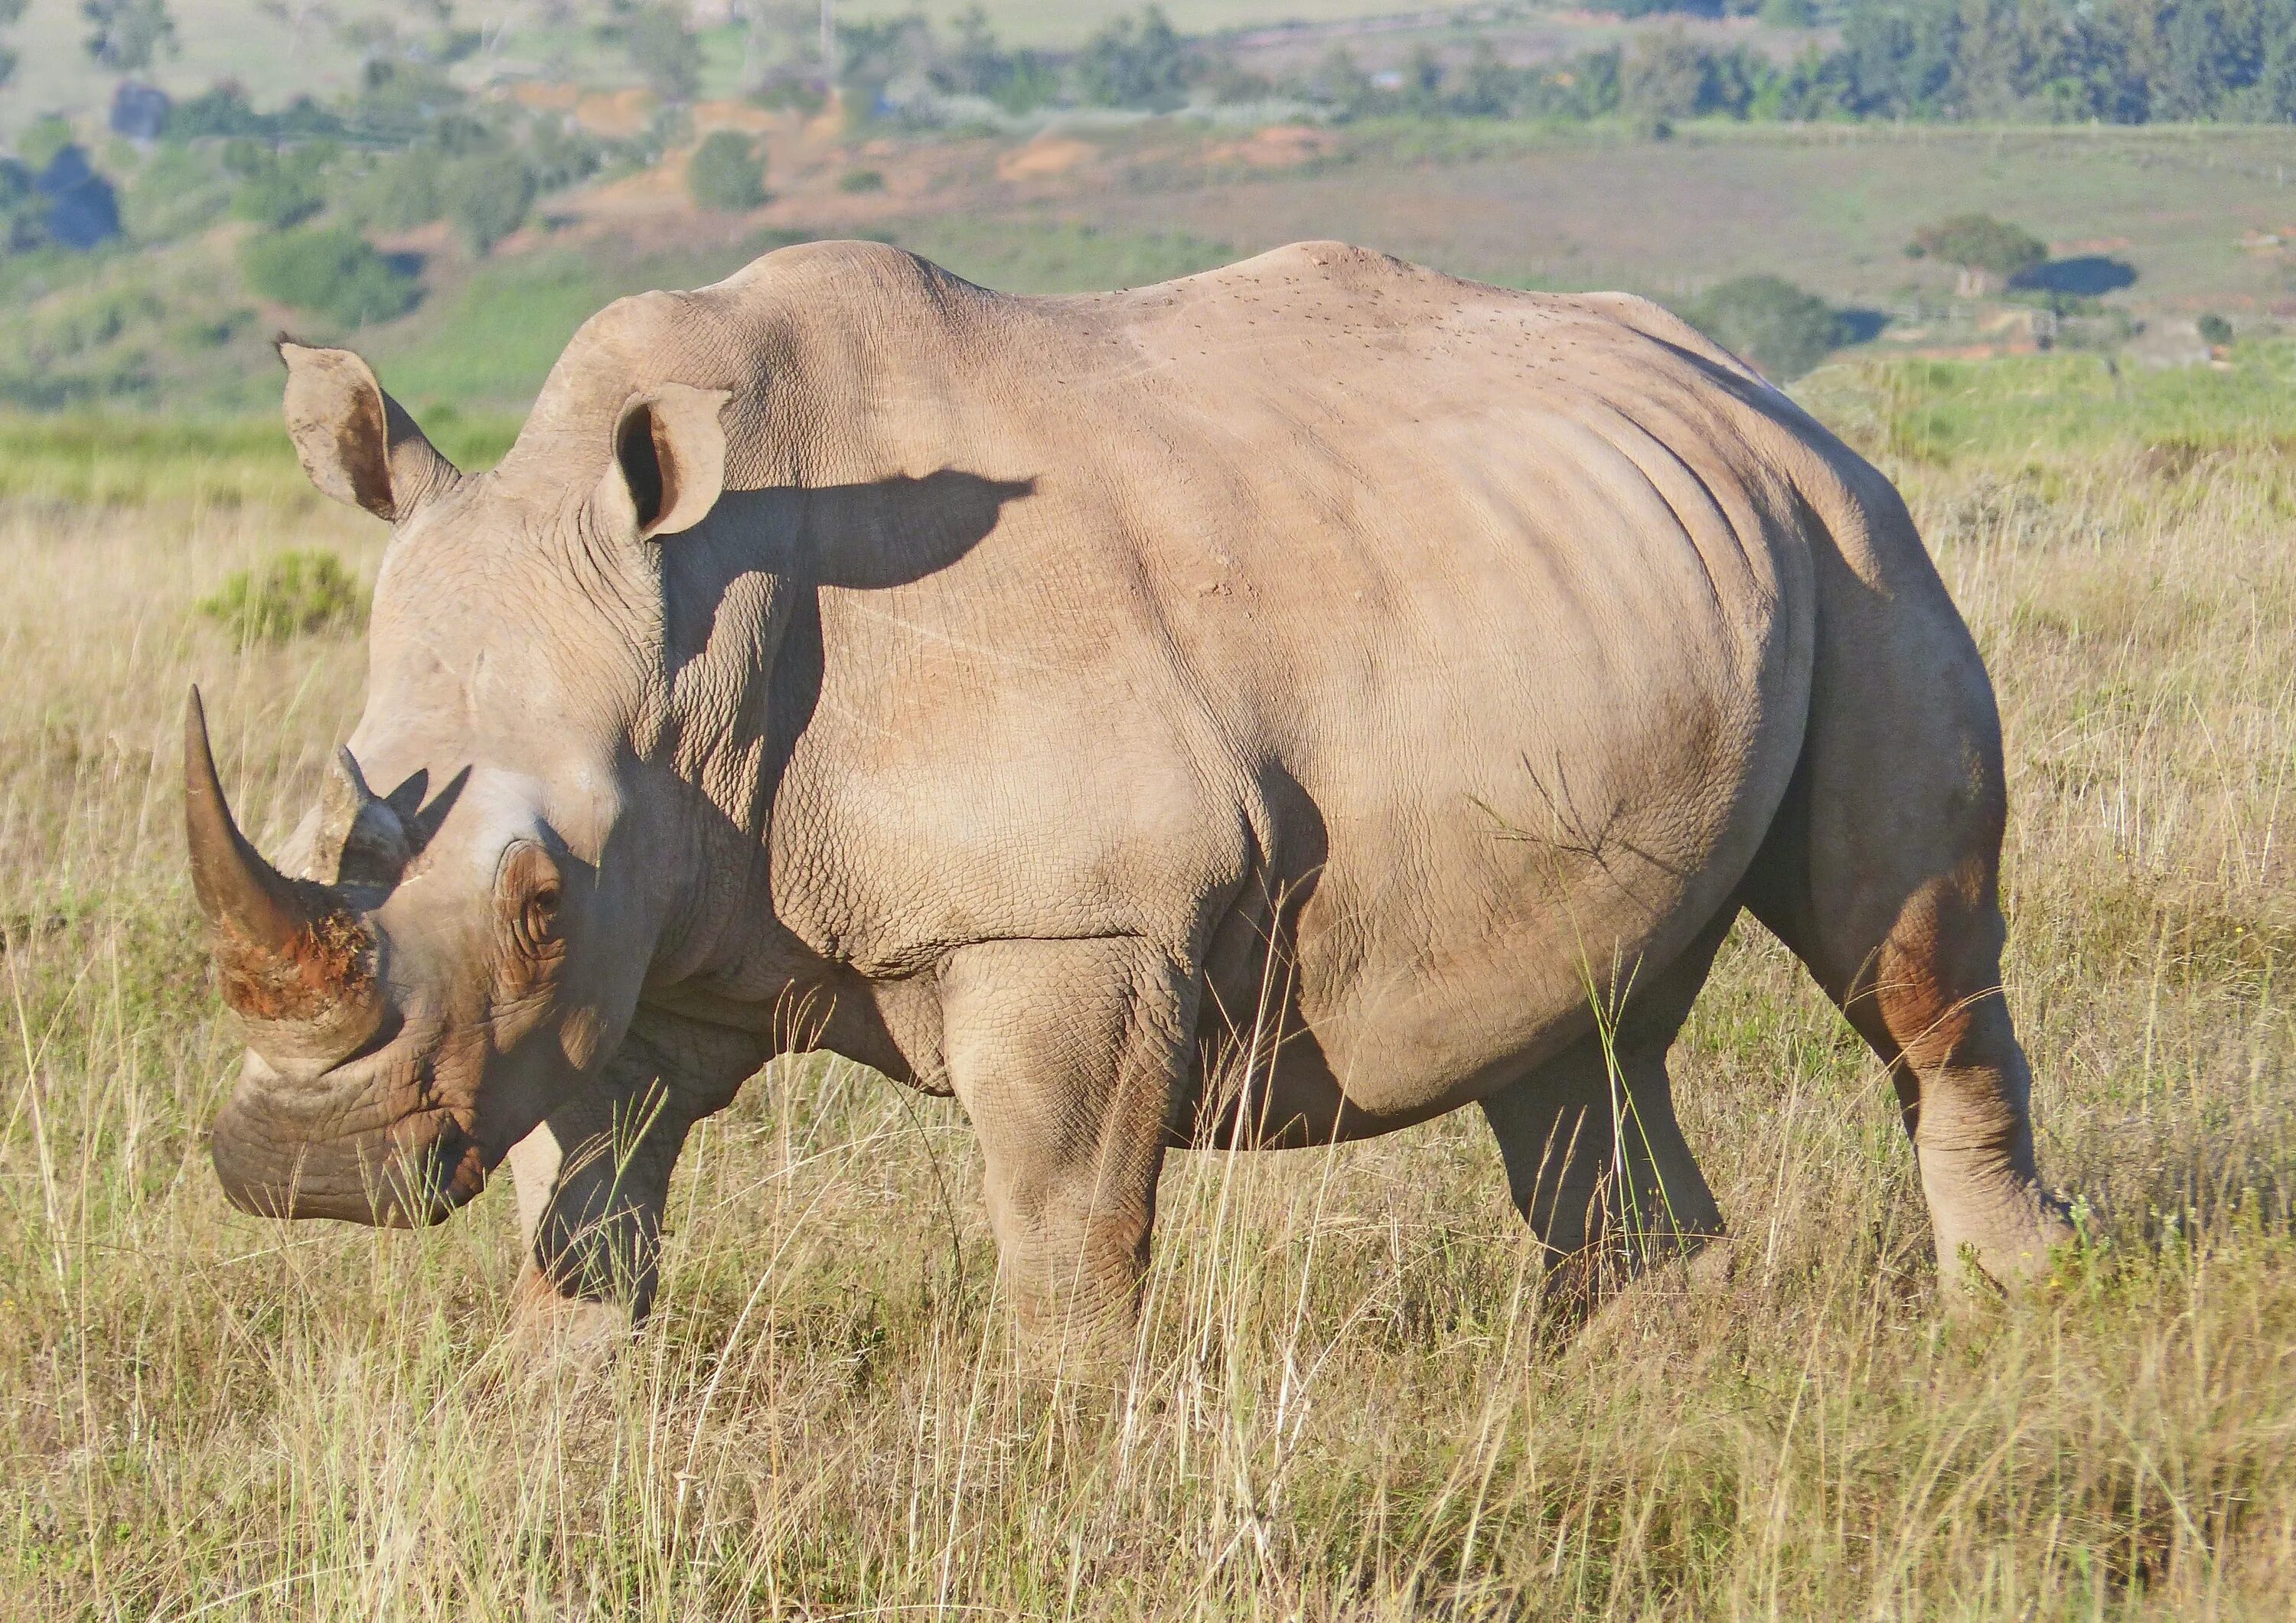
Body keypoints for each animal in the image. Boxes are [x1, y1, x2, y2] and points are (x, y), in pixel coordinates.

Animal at [188, 241, 2076, 1350]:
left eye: (535, 901)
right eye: (345, 835)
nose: (306, 1176)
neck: (693, 636)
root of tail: (1760, 394)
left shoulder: (1073, 922)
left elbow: (1064, 1233)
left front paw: (1052, 1464)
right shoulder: (644, 949)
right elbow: (587, 1212)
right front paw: (563, 1412)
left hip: (1859, 539)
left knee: (1909, 965)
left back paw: (2020, 1313)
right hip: (1651, 568)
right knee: (1579, 1043)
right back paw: (1631, 1381)